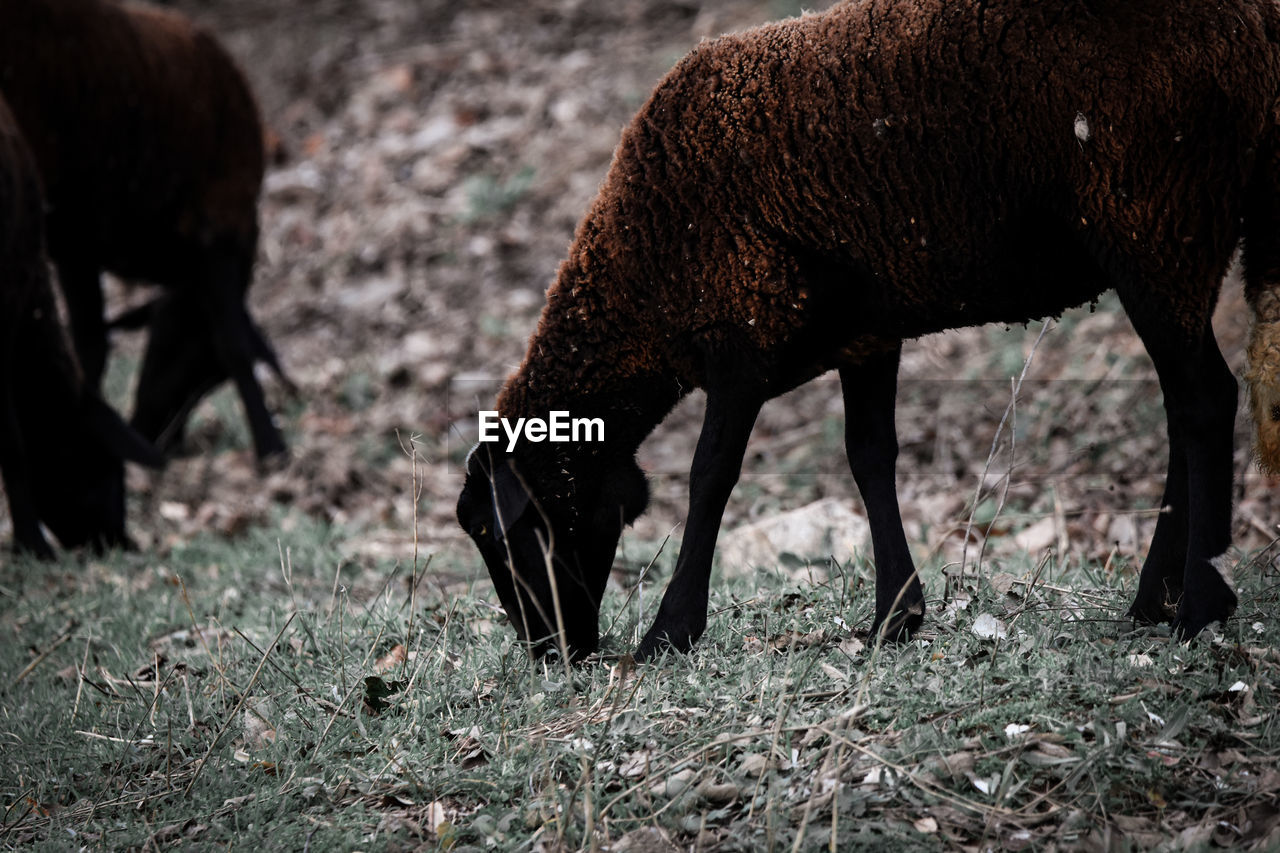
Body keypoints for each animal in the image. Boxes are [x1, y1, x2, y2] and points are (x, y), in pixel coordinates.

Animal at [0, 0, 290, 461]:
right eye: (200, 365)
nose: (159, 438)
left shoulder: (74, 241)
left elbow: (89, 344)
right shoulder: (216, 225)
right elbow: (234, 345)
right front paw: (270, 446)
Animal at [455, 0, 1280, 655]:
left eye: (504, 534)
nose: (551, 652)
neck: (642, 272)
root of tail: (1254, 28)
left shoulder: (742, 326)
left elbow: (710, 476)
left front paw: (671, 630)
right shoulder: (867, 334)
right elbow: (869, 456)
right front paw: (896, 615)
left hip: (1153, 220)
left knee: (1205, 400)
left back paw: (1198, 606)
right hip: (1176, 229)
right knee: (1186, 408)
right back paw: (1154, 600)